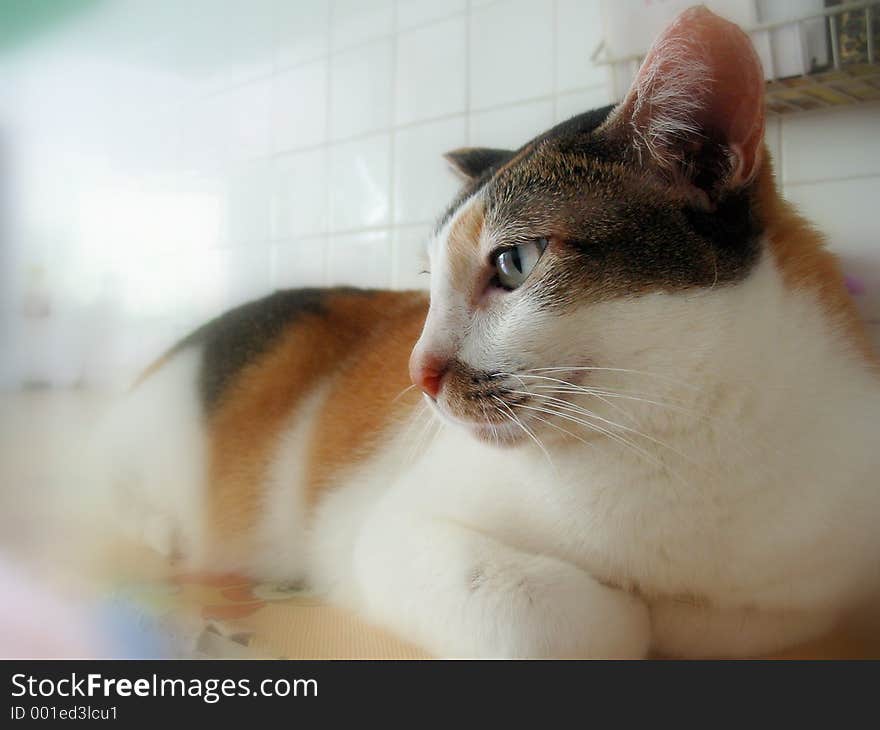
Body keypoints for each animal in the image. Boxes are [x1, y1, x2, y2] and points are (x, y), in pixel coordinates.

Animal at [101, 7, 880, 656]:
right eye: (430, 284)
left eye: (515, 262)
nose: (416, 373)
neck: (675, 434)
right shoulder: (390, 531)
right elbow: (557, 618)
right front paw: (627, 615)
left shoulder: (804, 592)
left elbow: (723, 622)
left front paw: (668, 613)